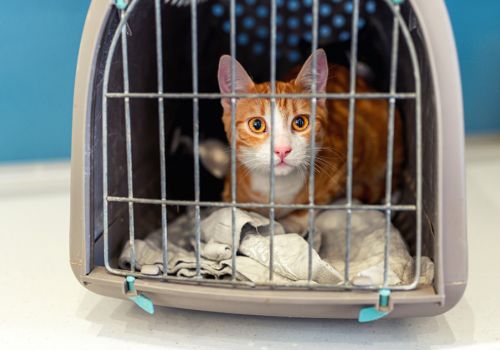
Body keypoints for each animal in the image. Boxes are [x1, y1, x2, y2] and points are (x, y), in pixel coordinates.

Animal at [216, 47, 402, 232]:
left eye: (300, 122)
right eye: (257, 124)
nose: (282, 150)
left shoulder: (346, 160)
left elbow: (316, 201)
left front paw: (291, 224)